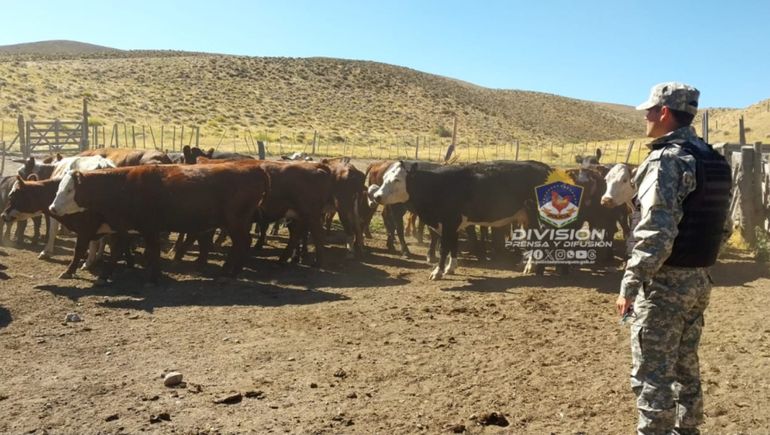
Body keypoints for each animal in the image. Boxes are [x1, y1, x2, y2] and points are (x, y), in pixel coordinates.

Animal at [48, 163, 270, 283]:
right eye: (59, 187)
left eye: (70, 189)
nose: (52, 208)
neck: (123, 186)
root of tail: (255, 169)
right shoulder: (124, 227)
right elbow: (122, 250)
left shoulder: (148, 227)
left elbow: (152, 250)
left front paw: (153, 277)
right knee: (240, 244)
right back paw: (226, 271)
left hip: (236, 222)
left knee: (243, 243)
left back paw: (230, 275)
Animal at [372, 160, 550, 280]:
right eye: (385, 177)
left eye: (397, 179)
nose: (377, 196)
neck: (438, 186)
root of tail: (545, 167)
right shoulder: (452, 225)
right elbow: (453, 246)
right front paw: (450, 267)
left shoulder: (449, 222)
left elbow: (444, 247)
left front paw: (437, 271)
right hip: (527, 218)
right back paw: (527, 265)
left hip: (536, 216)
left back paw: (534, 268)